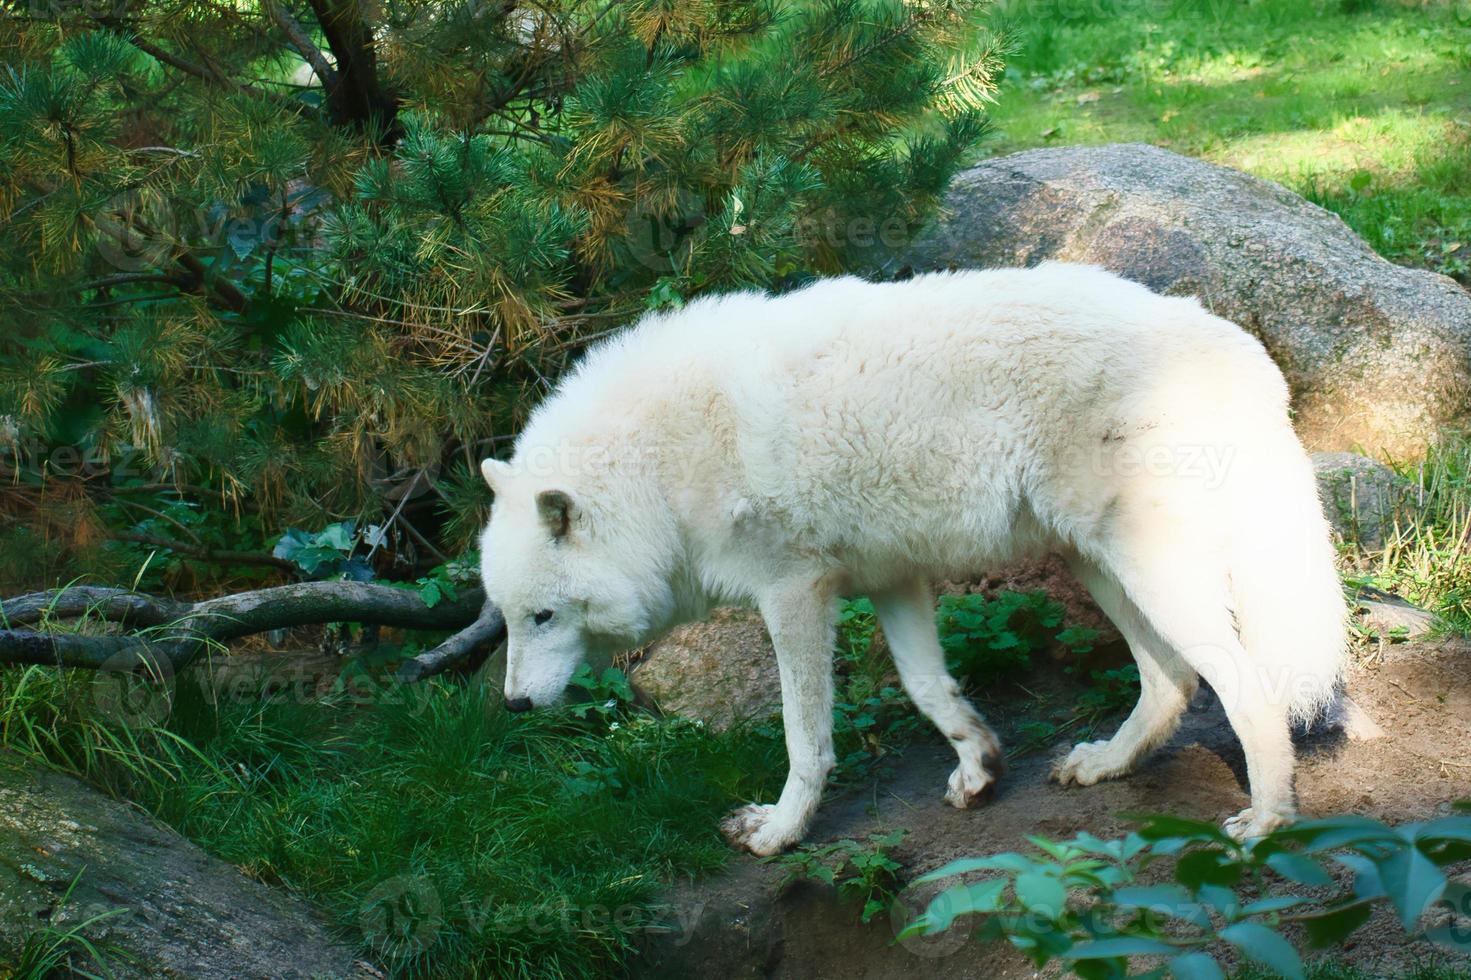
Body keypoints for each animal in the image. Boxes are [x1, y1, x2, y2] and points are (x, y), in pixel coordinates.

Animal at [479, 263, 1347, 853]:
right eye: (512, 620)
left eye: (544, 616)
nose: (512, 706)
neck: (657, 467)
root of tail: (1234, 345)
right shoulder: (890, 578)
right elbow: (930, 687)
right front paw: (979, 767)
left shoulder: (793, 593)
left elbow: (804, 736)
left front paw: (781, 830)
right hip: (1097, 564)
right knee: (1171, 680)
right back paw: (1103, 764)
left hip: (1146, 569)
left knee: (1244, 687)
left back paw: (1269, 818)